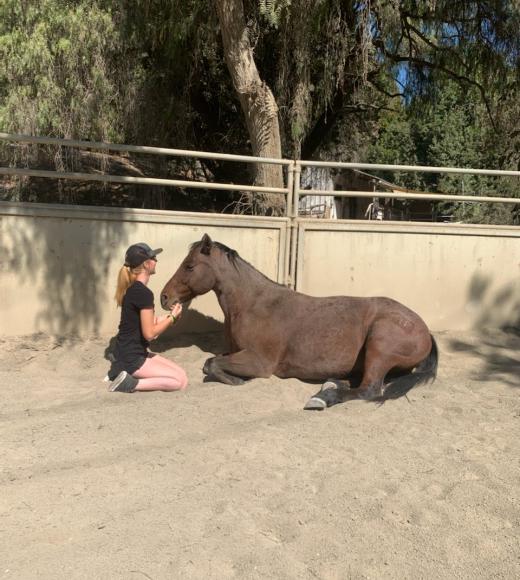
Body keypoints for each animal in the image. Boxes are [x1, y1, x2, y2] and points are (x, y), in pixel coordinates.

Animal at [160, 233, 436, 410]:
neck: (254, 305)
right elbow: (211, 362)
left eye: (189, 266)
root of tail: (424, 329)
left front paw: (237, 380)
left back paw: (323, 398)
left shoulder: (260, 362)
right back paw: (330, 384)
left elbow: (211, 364)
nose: (164, 297)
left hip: (379, 347)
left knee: (368, 389)